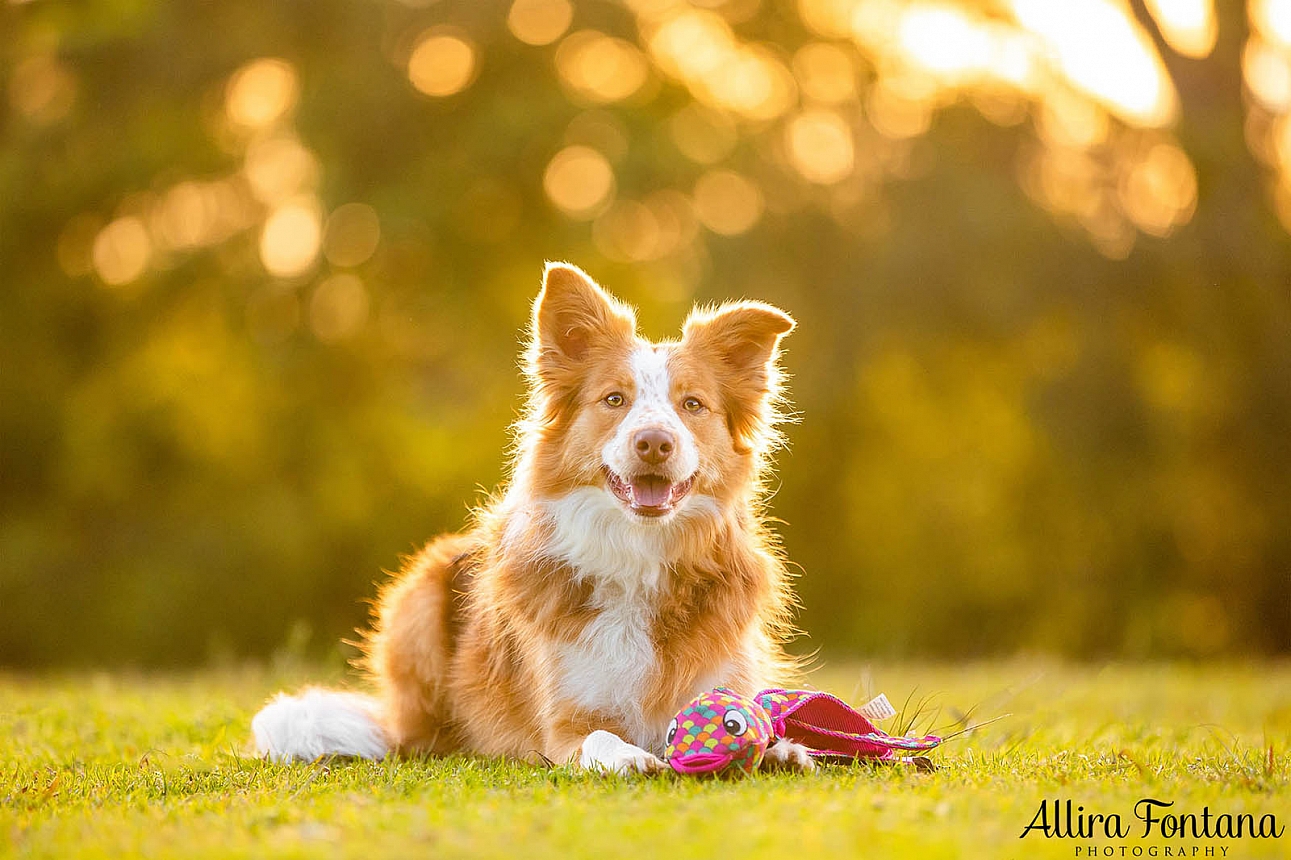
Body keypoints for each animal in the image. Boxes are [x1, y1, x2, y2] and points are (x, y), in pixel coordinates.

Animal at [250, 260, 805, 769]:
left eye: (693, 404)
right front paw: (630, 756)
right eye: (614, 399)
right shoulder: (564, 726)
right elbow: (600, 739)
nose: (654, 442)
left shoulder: (723, 677)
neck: (639, 554)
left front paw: (782, 747)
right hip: (417, 596)